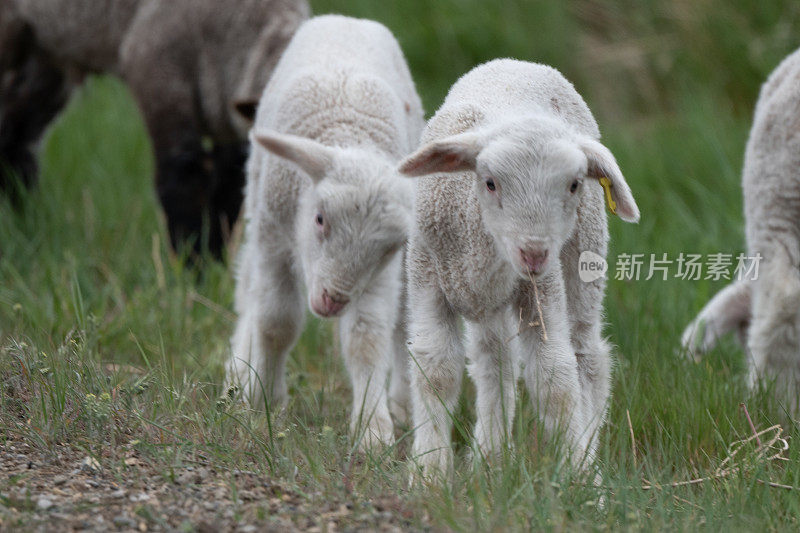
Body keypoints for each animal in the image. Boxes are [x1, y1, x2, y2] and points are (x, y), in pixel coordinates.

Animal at [0, 0, 310, 258]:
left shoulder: (231, 126)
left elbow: (226, 192)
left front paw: (214, 260)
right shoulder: (156, 69)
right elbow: (181, 178)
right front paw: (191, 269)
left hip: (44, 50)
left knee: (16, 134)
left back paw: (23, 218)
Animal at [227, 14, 424, 446]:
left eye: (389, 247)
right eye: (319, 219)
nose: (333, 301)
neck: (349, 132)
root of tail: (349, 19)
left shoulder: (380, 275)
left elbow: (367, 339)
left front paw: (373, 429)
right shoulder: (273, 240)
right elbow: (276, 322)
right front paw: (265, 402)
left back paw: (403, 405)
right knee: (248, 292)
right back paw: (238, 370)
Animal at [396, 58, 640, 474]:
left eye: (574, 184)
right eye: (490, 183)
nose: (534, 253)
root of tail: (518, 63)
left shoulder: (541, 288)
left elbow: (554, 377)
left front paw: (574, 474)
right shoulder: (427, 277)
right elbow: (436, 369)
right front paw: (430, 472)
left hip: (583, 254)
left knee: (587, 357)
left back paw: (587, 457)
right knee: (495, 361)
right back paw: (489, 457)